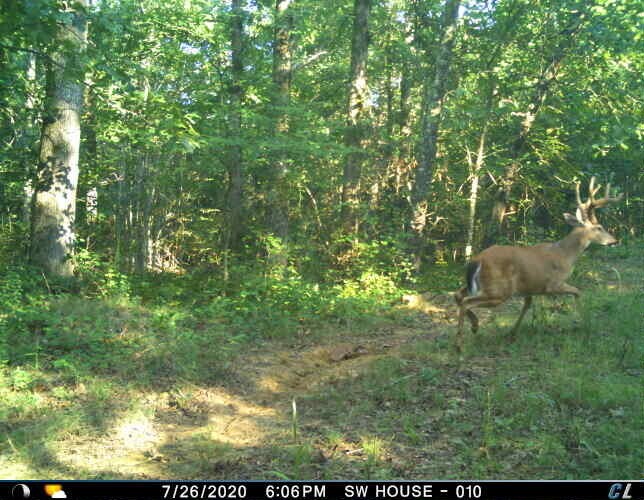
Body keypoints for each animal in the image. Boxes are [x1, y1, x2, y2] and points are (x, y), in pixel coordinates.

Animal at [452, 178, 624, 350]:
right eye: (599, 227)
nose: (614, 241)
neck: (565, 254)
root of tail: (477, 260)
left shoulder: (530, 287)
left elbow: (527, 305)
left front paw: (512, 333)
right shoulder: (553, 284)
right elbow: (577, 292)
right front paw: (586, 324)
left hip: (482, 285)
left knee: (458, 294)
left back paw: (474, 326)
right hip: (499, 289)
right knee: (466, 302)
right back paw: (460, 343)